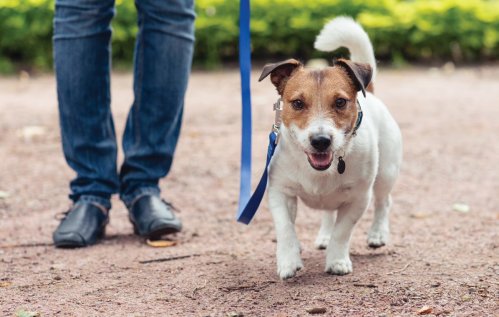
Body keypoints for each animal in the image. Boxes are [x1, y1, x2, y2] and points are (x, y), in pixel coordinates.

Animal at [260, 16, 404, 278]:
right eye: (297, 103)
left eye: (340, 102)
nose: (320, 141)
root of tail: (372, 94)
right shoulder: (280, 192)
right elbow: (286, 229)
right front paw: (288, 260)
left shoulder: (358, 198)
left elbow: (342, 232)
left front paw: (337, 261)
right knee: (328, 213)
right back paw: (324, 236)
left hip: (386, 173)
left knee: (383, 203)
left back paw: (377, 234)